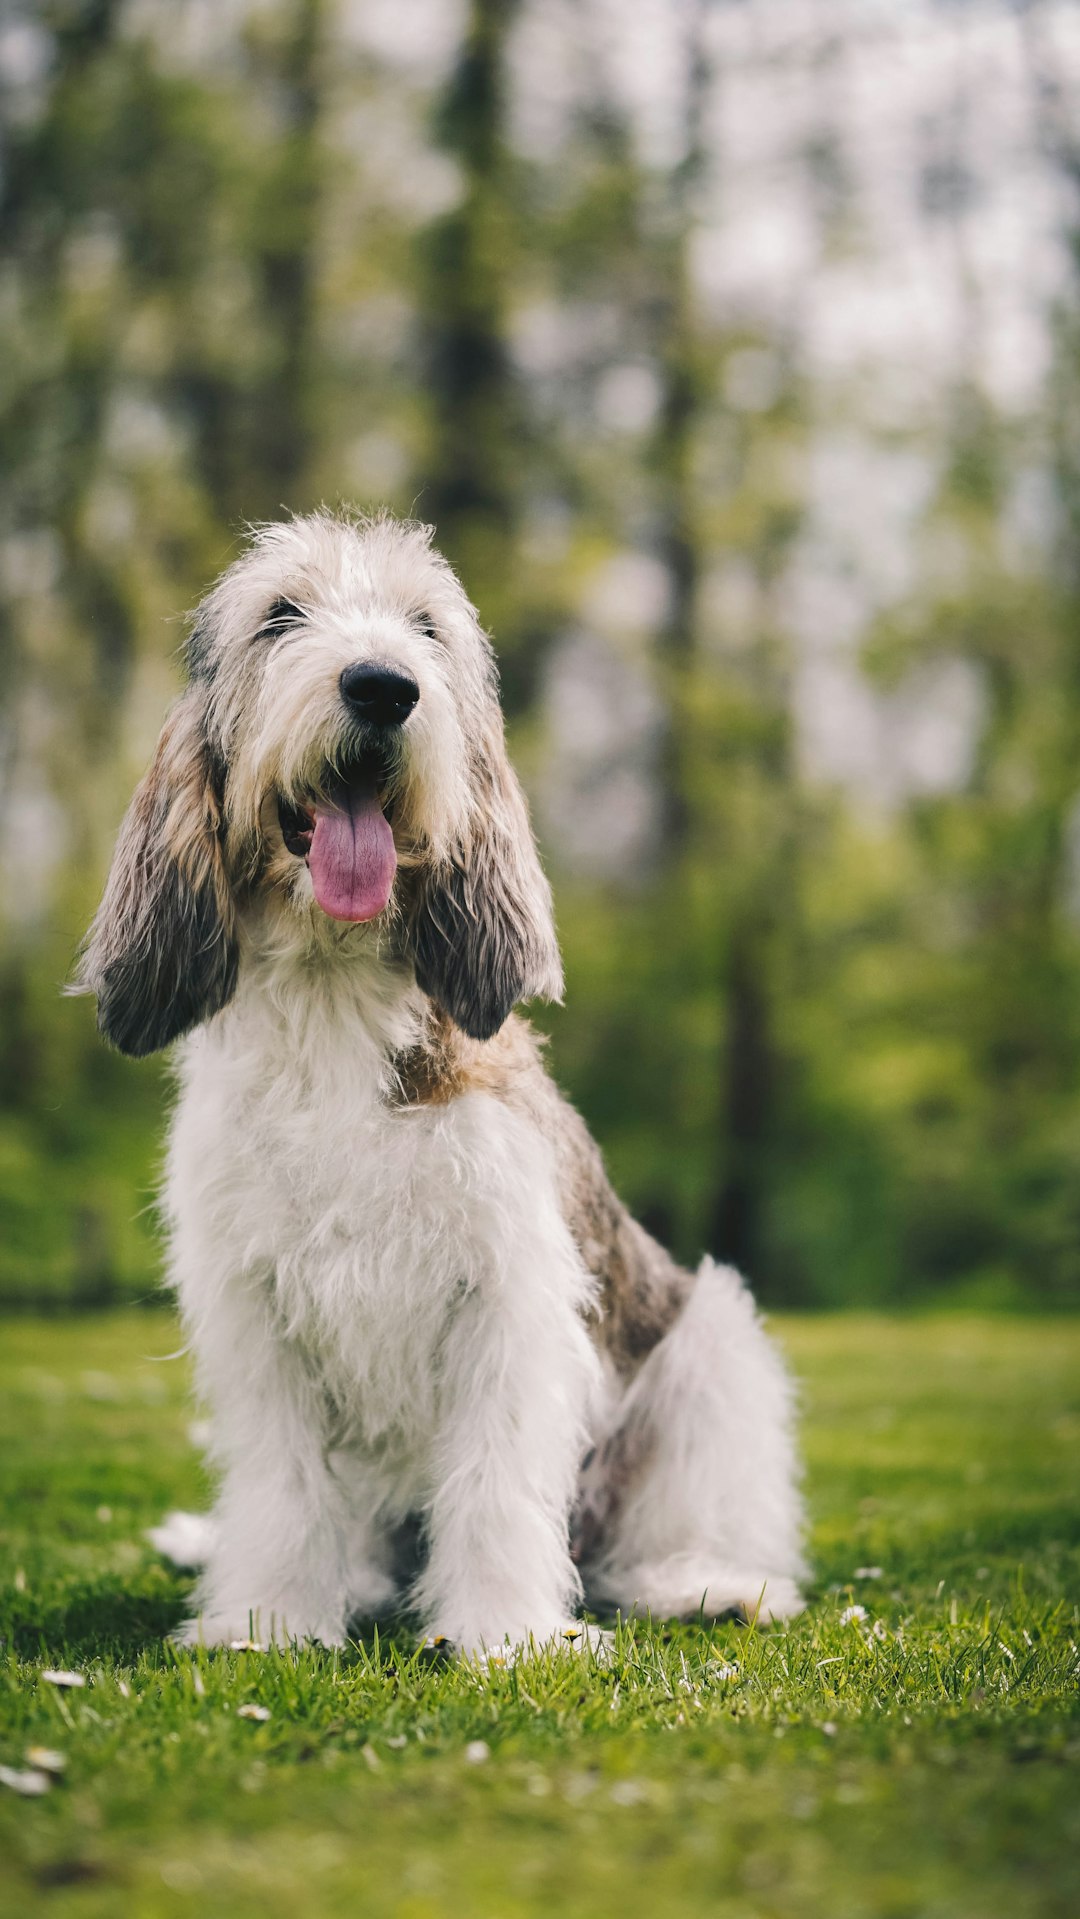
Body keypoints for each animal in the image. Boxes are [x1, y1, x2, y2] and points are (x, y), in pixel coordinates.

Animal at [73, 514, 801, 1665]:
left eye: (426, 627)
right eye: (281, 614)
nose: (382, 686)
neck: (333, 1005)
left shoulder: (508, 1298)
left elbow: (496, 1480)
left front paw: (505, 1634)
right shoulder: (255, 1314)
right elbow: (281, 1485)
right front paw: (270, 1621)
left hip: (713, 1345)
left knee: (652, 1532)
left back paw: (704, 1582)